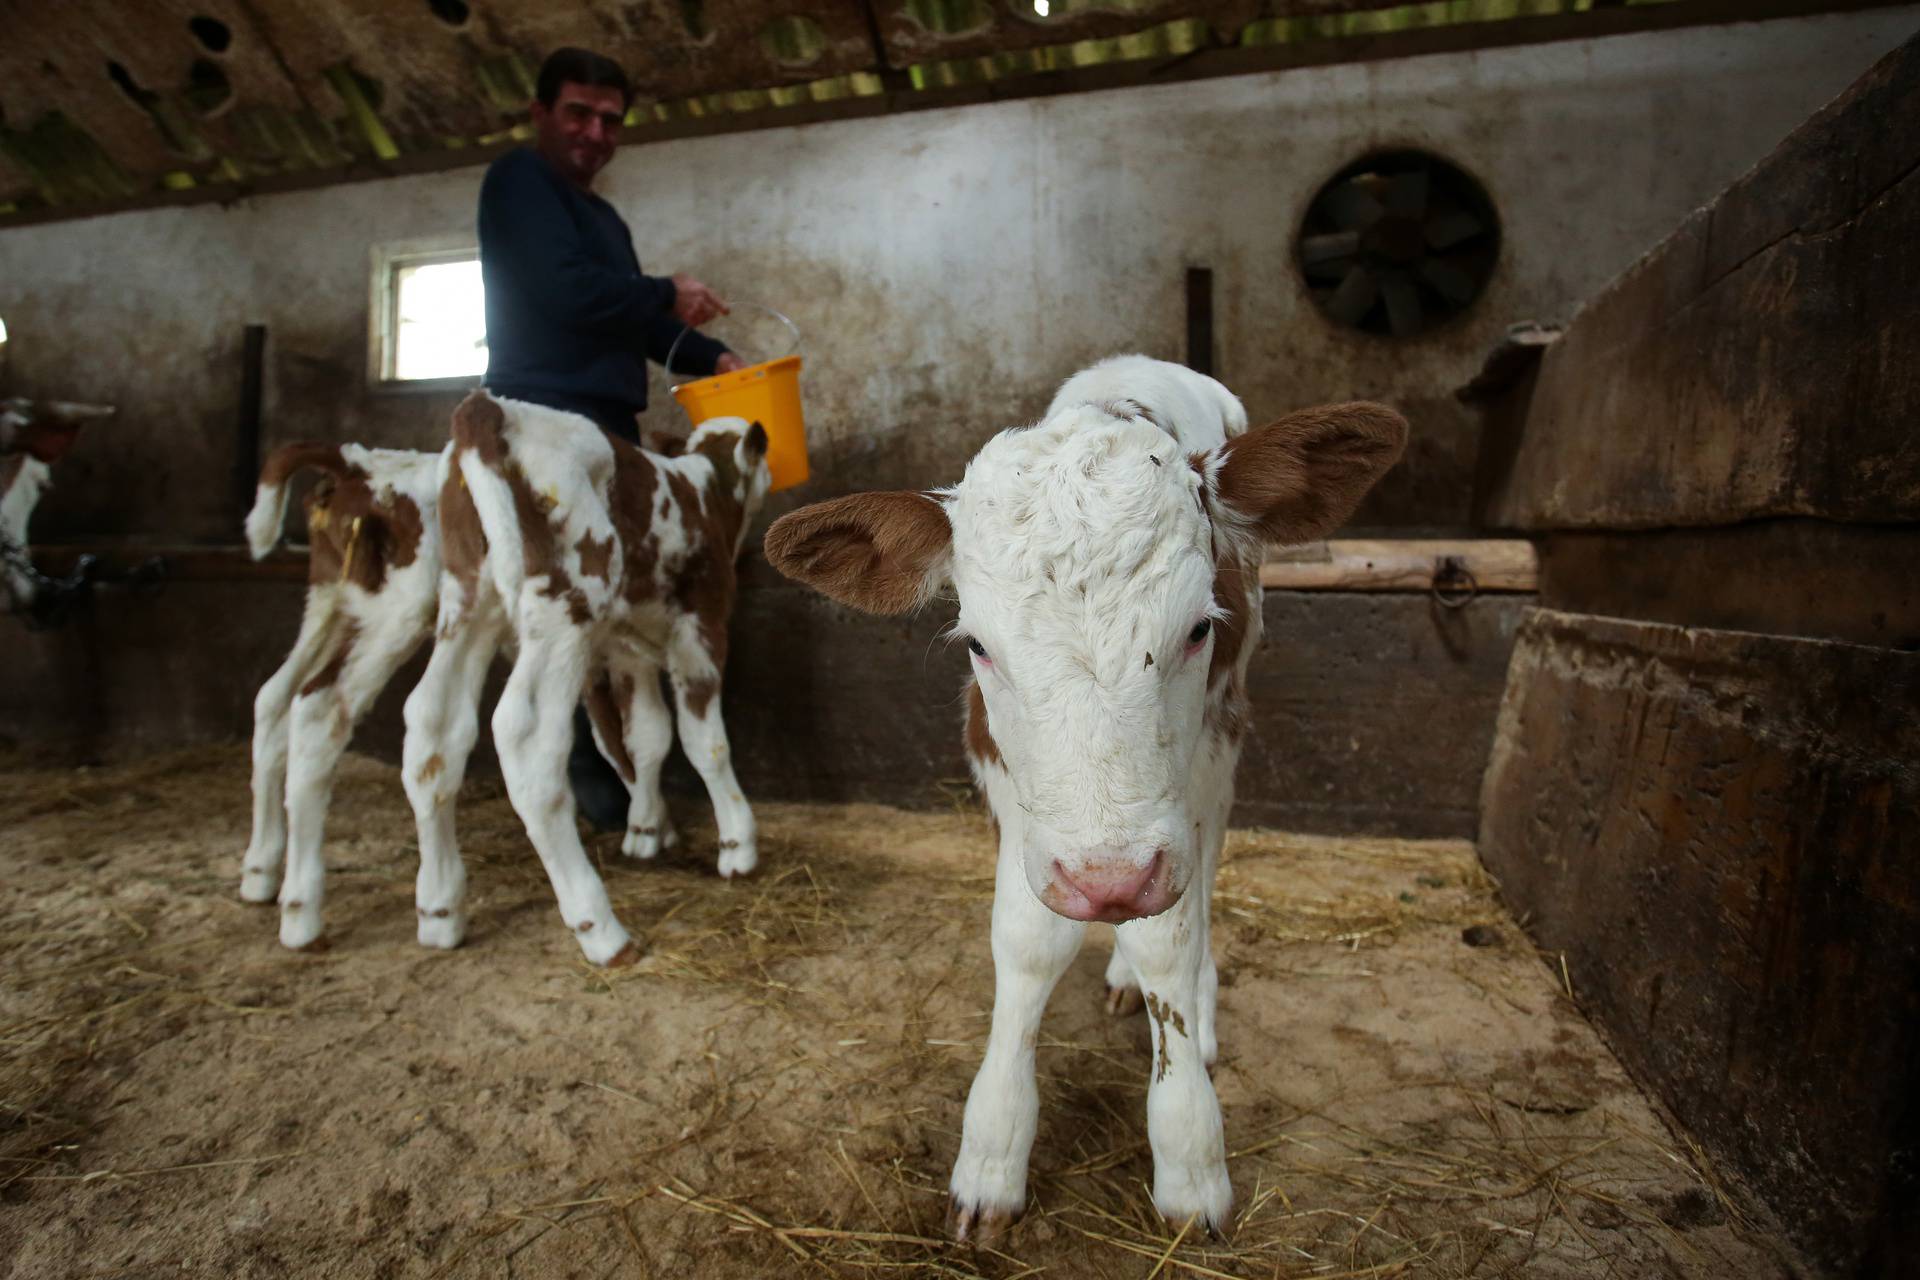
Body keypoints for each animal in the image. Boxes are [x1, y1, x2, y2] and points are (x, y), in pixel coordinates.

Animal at [399, 395, 771, 967]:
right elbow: (703, 741)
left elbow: (644, 737)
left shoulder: (625, 648)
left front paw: (646, 828)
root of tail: (485, 407)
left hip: (469, 599)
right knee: (527, 740)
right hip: (565, 604)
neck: (703, 492)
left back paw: (440, 909)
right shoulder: (701, 625)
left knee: (431, 728)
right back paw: (600, 929)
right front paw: (737, 844)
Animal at [764, 353, 1413, 1243]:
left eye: (1198, 628)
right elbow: (1028, 937)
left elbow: (1171, 937)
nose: (1109, 883)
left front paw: (1190, 1157)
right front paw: (992, 1155)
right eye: (978, 644)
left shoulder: (1198, 772)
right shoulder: (1006, 780)